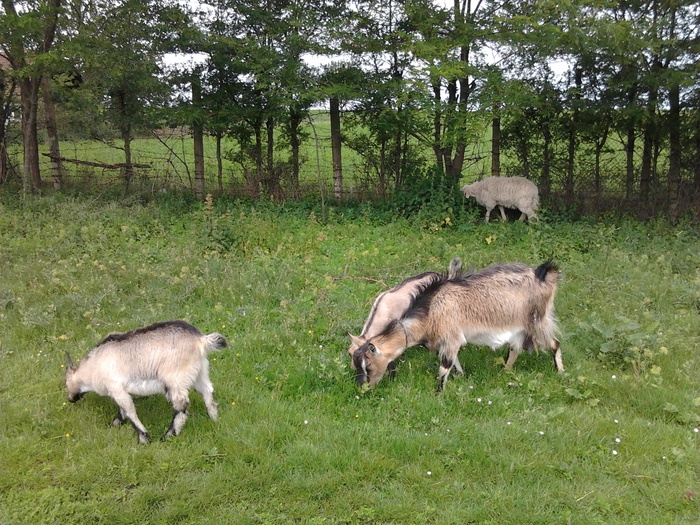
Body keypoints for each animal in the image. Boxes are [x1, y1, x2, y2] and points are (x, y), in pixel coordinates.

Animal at [64, 320, 226, 442]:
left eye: (66, 383)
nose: (70, 399)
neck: (92, 366)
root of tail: (200, 340)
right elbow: (122, 410)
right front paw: (115, 425)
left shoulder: (116, 387)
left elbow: (128, 410)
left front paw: (143, 438)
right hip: (200, 371)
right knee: (207, 391)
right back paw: (214, 418)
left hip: (175, 377)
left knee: (181, 403)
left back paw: (168, 435)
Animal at [350, 260, 564, 390]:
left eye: (368, 365)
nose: (362, 386)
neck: (430, 309)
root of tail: (543, 275)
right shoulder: (447, 339)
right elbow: (453, 361)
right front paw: (461, 375)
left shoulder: (450, 335)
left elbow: (444, 367)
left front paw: (438, 393)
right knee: (515, 348)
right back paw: (505, 371)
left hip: (538, 320)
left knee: (554, 343)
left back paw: (561, 372)